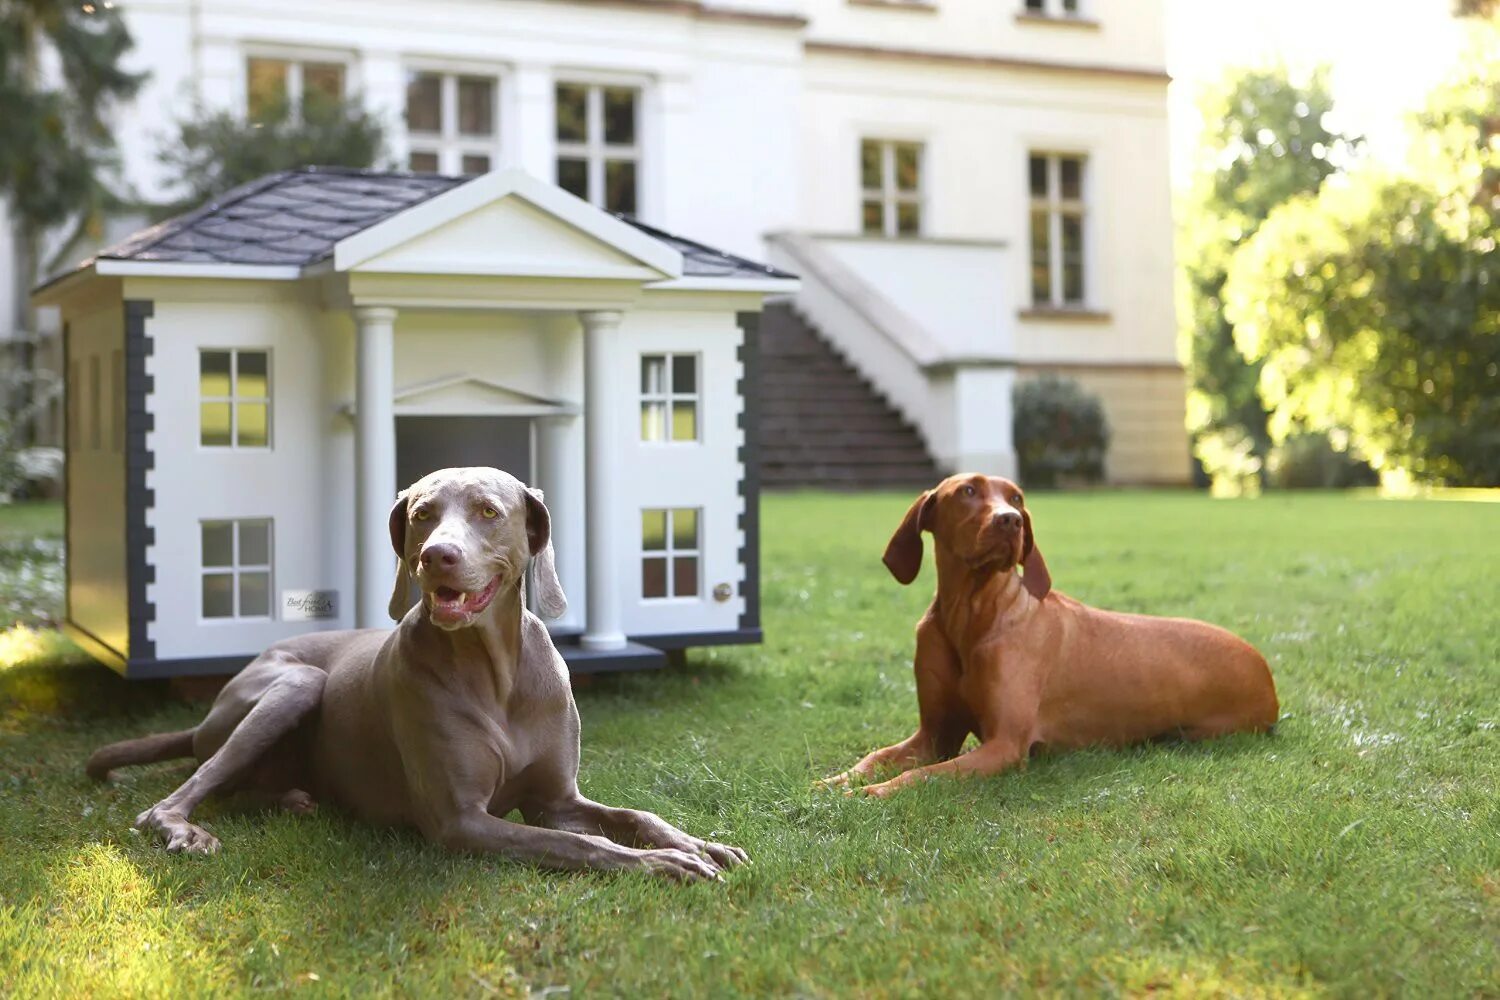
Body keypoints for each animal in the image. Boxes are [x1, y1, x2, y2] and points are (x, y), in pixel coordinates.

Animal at [86, 464, 744, 881]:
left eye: (488, 511)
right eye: (423, 514)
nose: (435, 557)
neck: (494, 673)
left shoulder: (557, 798)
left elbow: (630, 817)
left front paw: (700, 844)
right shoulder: (461, 822)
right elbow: (576, 845)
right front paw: (663, 864)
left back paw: (294, 799)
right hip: (294, 682)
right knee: (181, 793)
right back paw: (184, 827)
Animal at [822, 476, 1278, 797]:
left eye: (1017, 498)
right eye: (967, 491)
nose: (1010, 521)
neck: (971, 615)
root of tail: (1265, 668)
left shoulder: (1005, 746)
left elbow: (924, 776)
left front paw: (873, 791)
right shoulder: (934, 735)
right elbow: (876, 756)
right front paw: (836, 781)